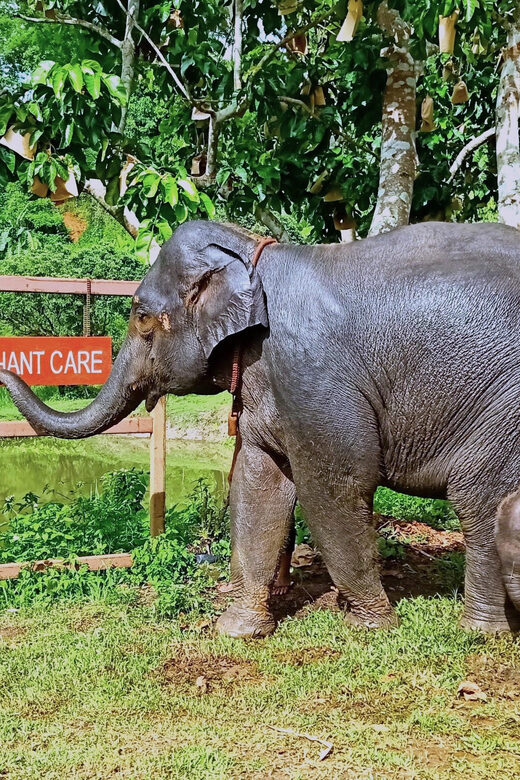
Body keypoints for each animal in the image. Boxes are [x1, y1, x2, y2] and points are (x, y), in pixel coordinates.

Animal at [3, 219, 520, 638]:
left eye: (142, 317)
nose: (5, 368)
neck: (257, 255)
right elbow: (257, 484)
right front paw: (237, 630)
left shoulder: (311, 373)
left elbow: (335, 486)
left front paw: (370, 624)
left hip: (502, 404)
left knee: (479, 502)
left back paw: (480, 632)